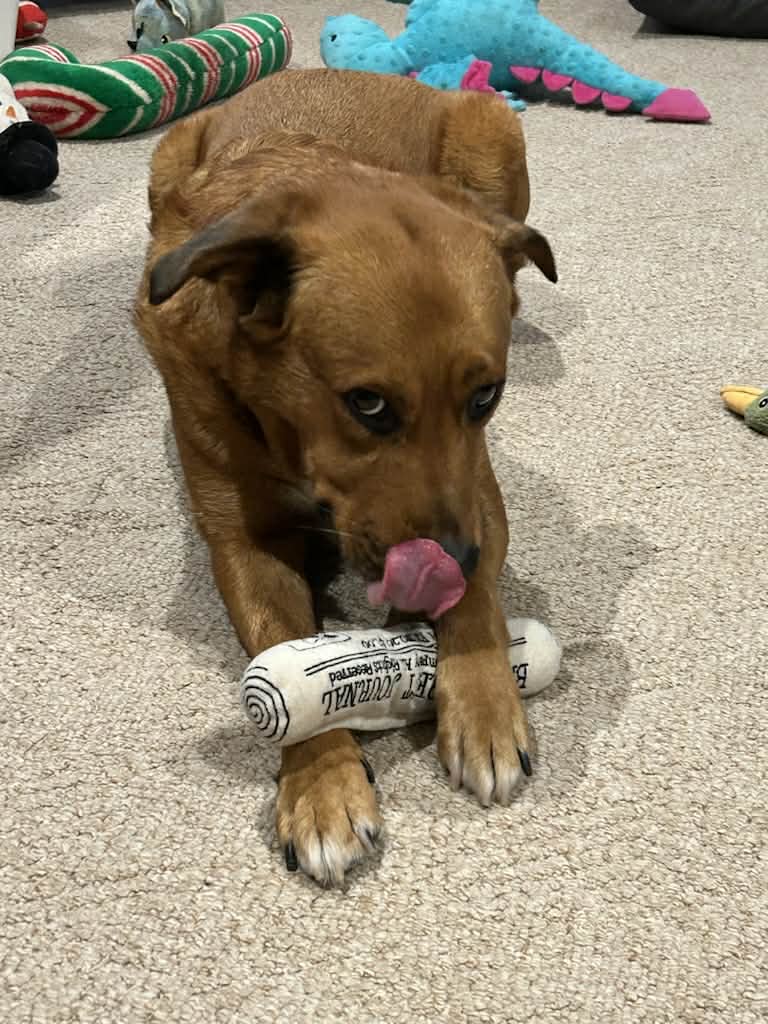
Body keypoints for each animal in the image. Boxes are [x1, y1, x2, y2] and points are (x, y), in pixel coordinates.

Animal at [134, 68, 557, 886]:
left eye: (486, 396)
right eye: (368, 403)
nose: (448, 562)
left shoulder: (478, 495)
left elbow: (479, 598)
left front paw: (486, 710)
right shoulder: (245, 542)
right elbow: (281, 655)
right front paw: (322, 783)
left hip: (494, 131)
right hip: (165, 158)